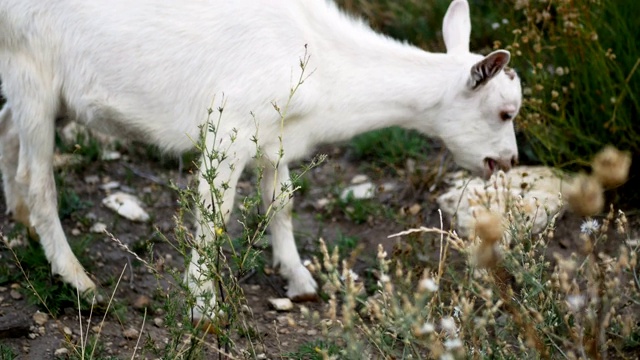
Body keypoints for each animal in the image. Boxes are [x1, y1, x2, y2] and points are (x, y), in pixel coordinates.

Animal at [0, 0, 520, 320]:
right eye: (505, 111)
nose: (509, 161)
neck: (325, 61)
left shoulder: (276, 134)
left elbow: (281, 202)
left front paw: (299, 279)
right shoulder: (228, 128)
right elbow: (215, 213)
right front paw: (203, 303)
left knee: (7, 127)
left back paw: (21, 219)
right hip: (31, 70)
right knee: (37, 176)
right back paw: (76, 278)